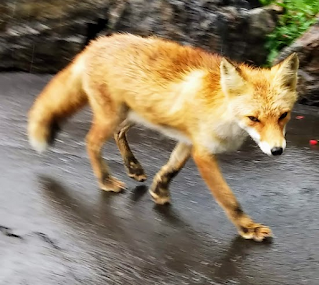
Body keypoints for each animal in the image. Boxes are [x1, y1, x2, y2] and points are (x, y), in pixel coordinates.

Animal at [27, 33, 300, 242]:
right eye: (253, 118)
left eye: (283, 115)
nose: (277, 151)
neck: (221, 108)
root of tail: (97, 42)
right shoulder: (203, 152)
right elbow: (228, 198)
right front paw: (248, 228)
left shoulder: (189, 141)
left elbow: (172, 168)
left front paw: (158, 191)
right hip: (112, 116)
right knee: (91, 142)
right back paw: (105, 180)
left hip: (134, 114)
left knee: (119, 133)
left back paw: (133, 167)